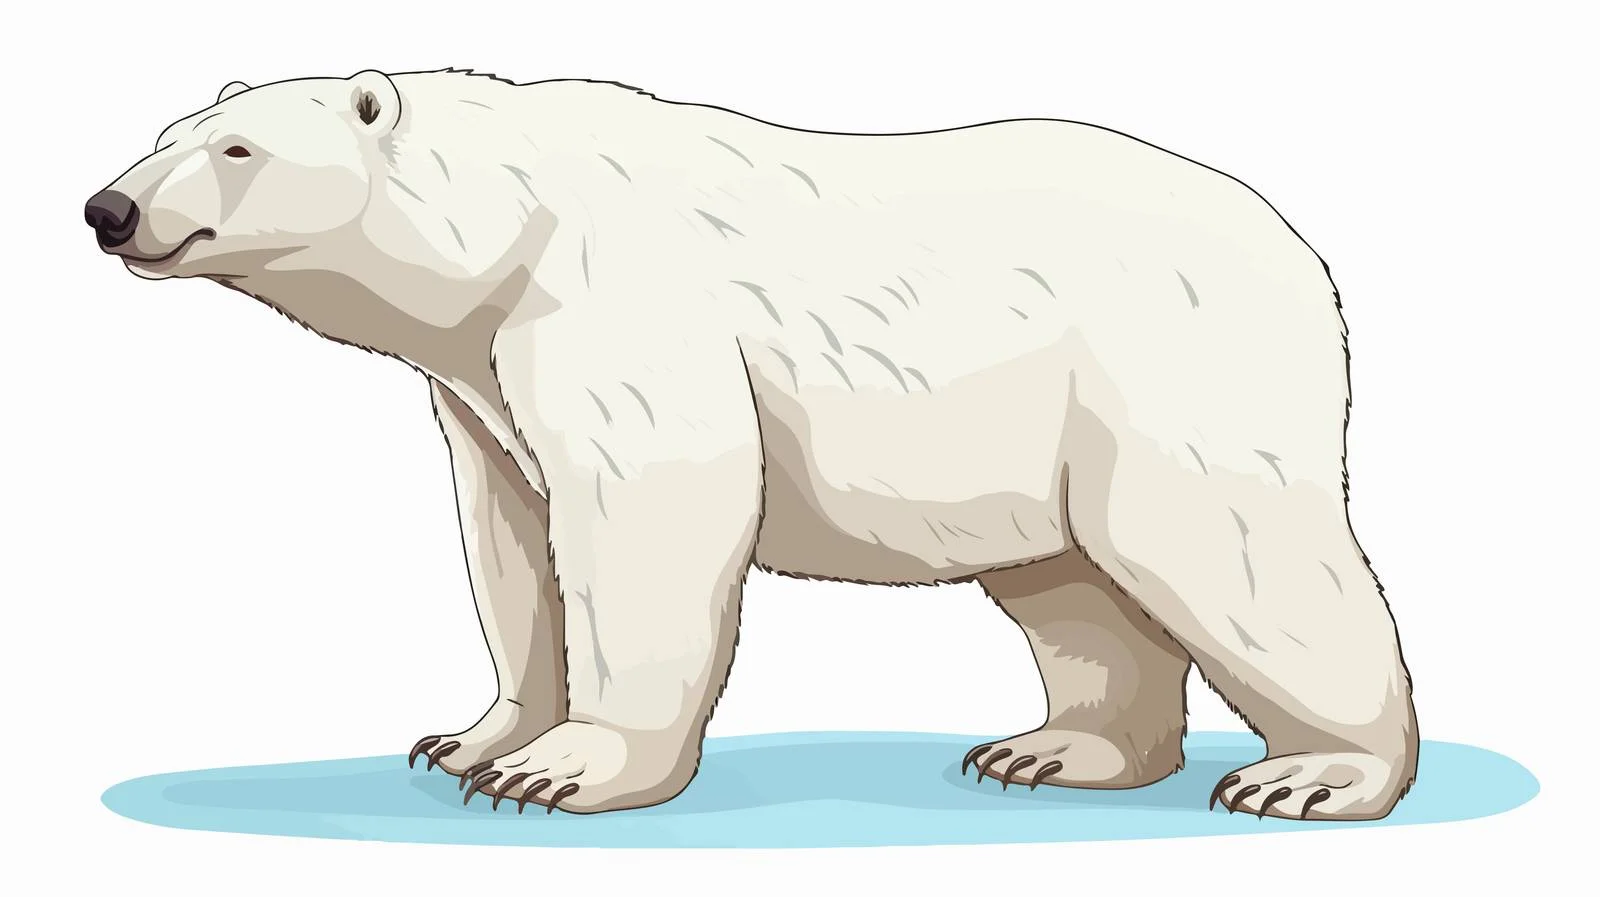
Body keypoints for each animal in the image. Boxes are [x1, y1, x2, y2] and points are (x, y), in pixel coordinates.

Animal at [84, 68, 1417, 819]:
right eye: (166, 129)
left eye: (238, 149)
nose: (108, 207)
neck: (510, 225)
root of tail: (1301, 250)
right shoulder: (475, 382)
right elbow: (508, 540)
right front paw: (471, 740)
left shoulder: (606, 305)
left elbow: (644, 512)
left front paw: (563, 773)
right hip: (1032, 426)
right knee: (1067, 582)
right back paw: (1055, 750)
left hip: (1159, 369)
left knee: (1227, 545)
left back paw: (1315, 776)